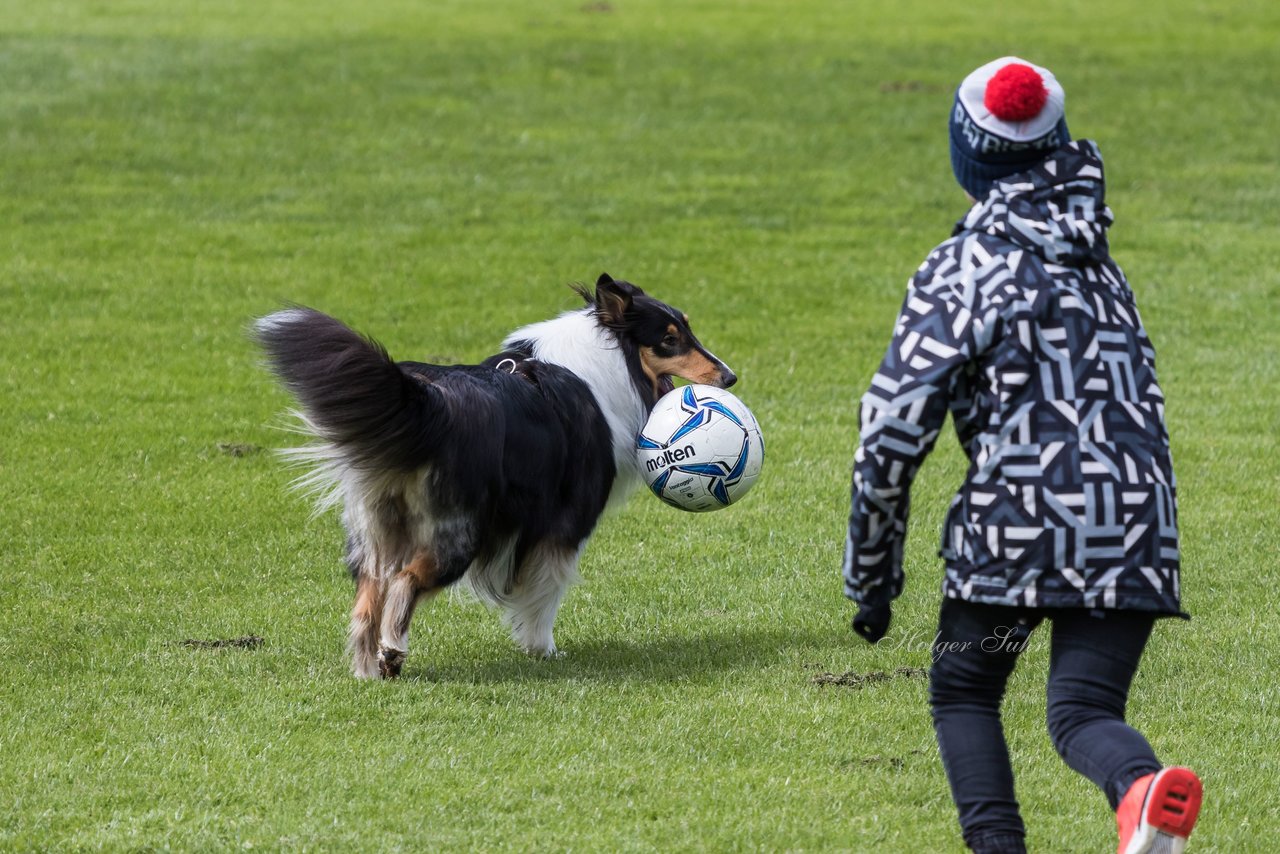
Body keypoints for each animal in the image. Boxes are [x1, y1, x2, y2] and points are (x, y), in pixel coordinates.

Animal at [254, 277, 737, 676]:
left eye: (687, 331)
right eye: (669, 340)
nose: (730, 376)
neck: (608, 360)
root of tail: (429, 404)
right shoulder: (563, 526)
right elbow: (545, 592)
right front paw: (543, 649)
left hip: (374, 527)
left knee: (368, 597)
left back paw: (368, 669)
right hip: (458, 532)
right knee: (405, 582)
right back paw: (392, 652)